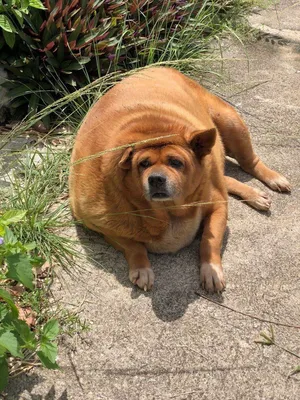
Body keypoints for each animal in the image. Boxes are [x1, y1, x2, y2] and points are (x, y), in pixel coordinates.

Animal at [69, 67, 290, 292]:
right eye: (143, 164)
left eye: (176, 162)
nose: (156, 179)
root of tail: (157, 67)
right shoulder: (100, 224)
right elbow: (133, 245)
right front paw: (141, 268)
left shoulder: (218, 205)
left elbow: (209, 240)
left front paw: (210, 269)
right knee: (226, 177)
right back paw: (254, 195)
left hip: (230, 122)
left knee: (248, 162)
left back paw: (272, 180)